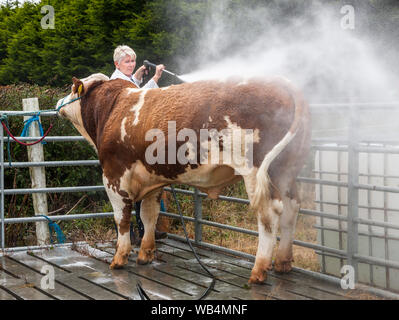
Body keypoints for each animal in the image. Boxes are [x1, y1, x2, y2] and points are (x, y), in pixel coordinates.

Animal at [56, 74, 312, 284]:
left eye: (72, 88)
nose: (59, 103)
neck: (113, 109)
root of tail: (284, 84)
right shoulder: (151, 179)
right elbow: (149, 215)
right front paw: (145, 254)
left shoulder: (113, 176)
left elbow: (122, 218)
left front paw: (119, 257)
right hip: (286, 169)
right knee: (292, 207)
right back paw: (283, 262)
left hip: (257, 171)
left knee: (268, 214)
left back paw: (259, 270)